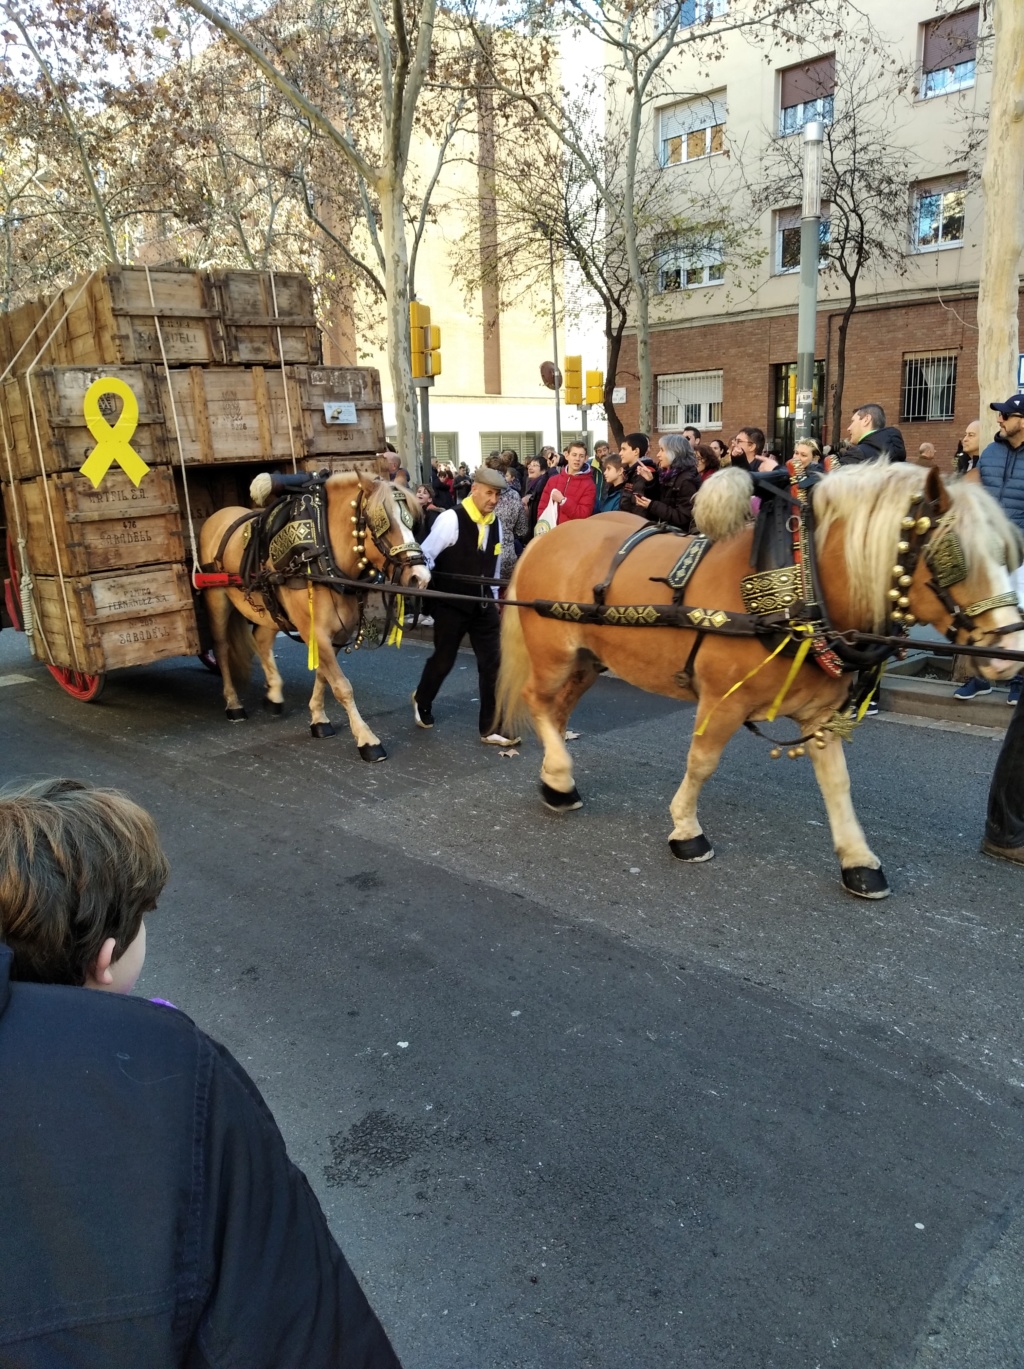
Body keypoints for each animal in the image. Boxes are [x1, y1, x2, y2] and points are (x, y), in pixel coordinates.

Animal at [199, 473, 427, 766]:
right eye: (382, 523)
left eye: (411, 520)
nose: (420, 577)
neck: (321, 554)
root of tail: (220, 514)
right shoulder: (315, 632)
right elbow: (341, 686)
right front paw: (367, 740)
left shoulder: (336, 634)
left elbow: (323, 676)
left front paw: (319, 719)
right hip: (216, 599)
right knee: (222, 648)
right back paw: (233, 703)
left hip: (271, 609)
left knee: (260, 640)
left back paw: (274, 694)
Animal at [501, 462, 1024, 898]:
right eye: (953, 558)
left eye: (1006, 554)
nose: (1010, 652)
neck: (801, 587)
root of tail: (545, 539)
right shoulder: (722, 701)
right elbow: (701, 763)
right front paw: (686, 831)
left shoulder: (820, 715)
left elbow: (837, 783)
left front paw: (857, 859)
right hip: (555, 654)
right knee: (538, 701)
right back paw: (560, 775)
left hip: (589, 660)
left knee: (558, 709)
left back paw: (554, 779)